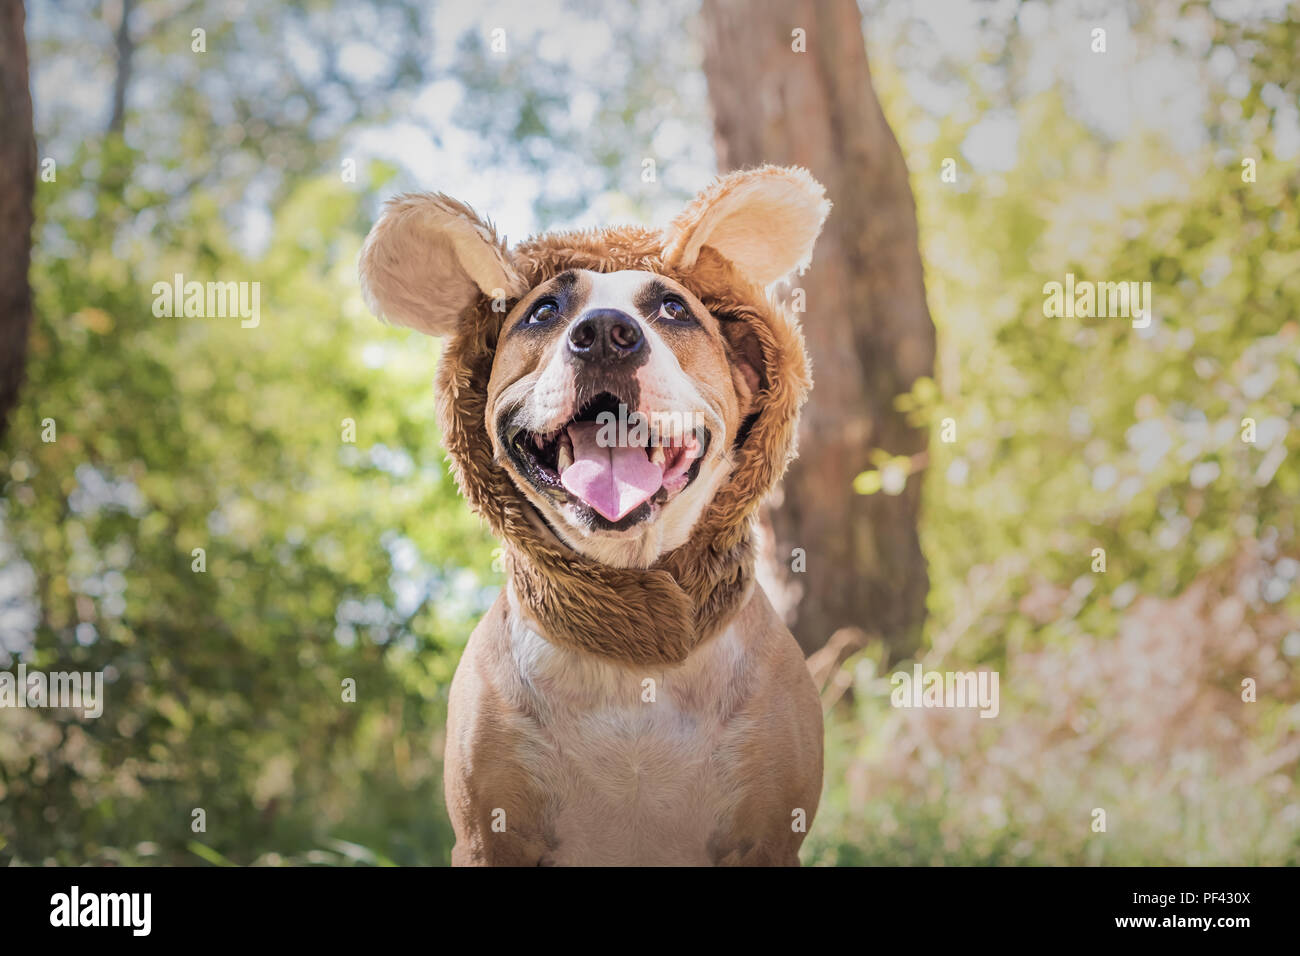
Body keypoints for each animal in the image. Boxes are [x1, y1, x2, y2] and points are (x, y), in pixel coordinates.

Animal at [361, 164, 826, 868]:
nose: (606, 332)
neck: (632, 647)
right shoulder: (486, 839)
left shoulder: (768, 840)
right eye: (544, 311)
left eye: (674, 308)